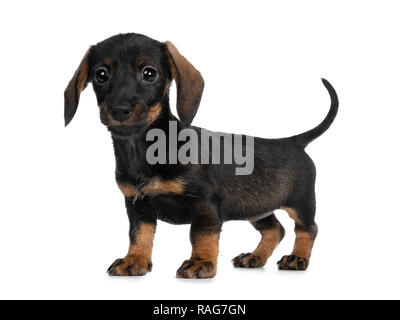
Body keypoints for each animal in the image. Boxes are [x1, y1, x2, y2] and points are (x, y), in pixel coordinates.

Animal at [65, 32, 338, 278]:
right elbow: (139, 235)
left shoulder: (205, 202)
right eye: (101, 74)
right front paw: (135, 260)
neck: (143, 149)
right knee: (275, 230)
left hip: (300, 202)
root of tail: (293, 142)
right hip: (255, 206)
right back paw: (254, 257)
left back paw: (297, 258)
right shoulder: (137, 205)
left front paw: (201, 262)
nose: (119, 109)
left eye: (149, 73)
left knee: (308, 229)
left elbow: (201, 234)